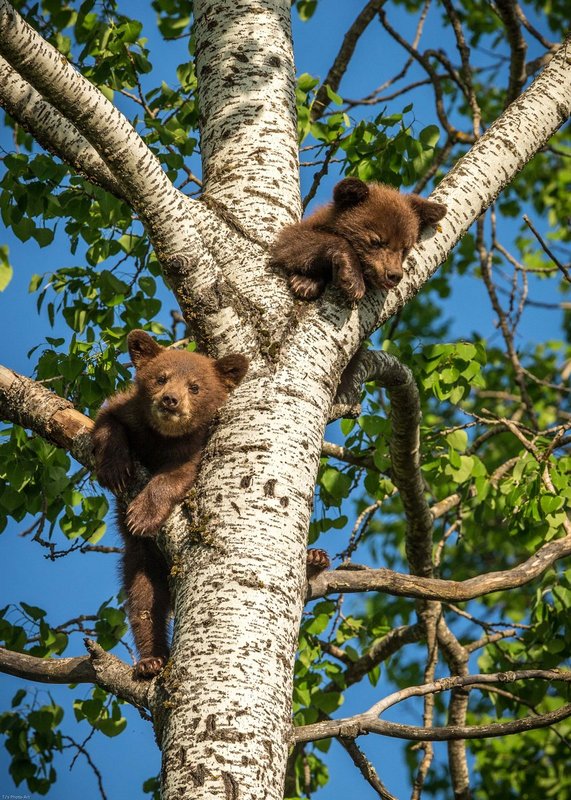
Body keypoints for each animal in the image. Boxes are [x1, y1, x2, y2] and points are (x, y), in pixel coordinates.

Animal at [91, 329, 249, 678]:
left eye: (195, 386)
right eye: (160, 378)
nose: (170, 400)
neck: (161, 437)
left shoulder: (192, 448)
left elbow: (175, 476)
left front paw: (142, 515)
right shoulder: (128, 411)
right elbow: (107, 420)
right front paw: (115, 468)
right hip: (140, 558)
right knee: (144, 603)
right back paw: (151, 660)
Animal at [269, 177, 447, 302]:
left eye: (405, 248)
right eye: (376, 241)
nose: (394, 275)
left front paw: (306, 283)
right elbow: (290, 243)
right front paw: (353, 280)